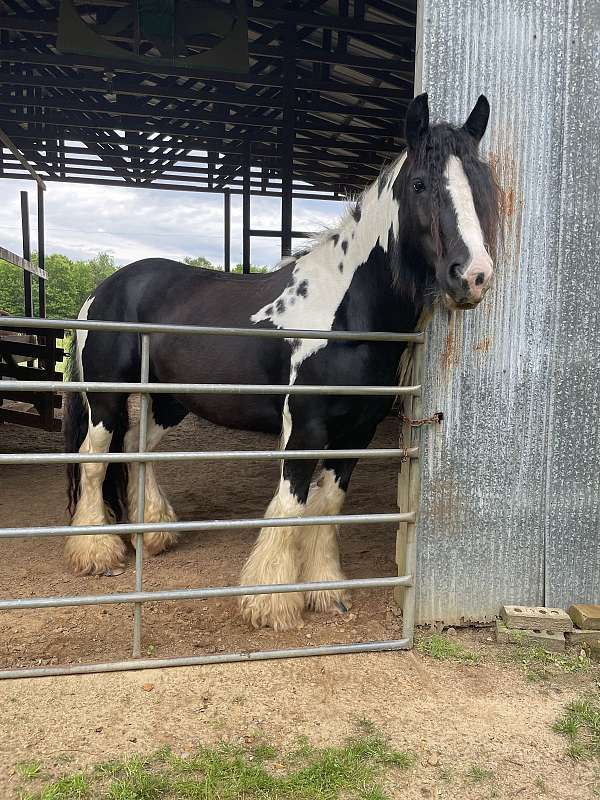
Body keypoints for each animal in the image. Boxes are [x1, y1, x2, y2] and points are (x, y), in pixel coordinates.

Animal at [63, 93, 500, 631]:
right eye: (420, 184)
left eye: (481, 184)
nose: (473, 276)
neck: (344, 312)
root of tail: (103, 289)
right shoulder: (305, 426)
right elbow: (292, 502)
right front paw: (271, 600)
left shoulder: (357, 431)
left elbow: (328, 504)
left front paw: (327, 590)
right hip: (105, 398)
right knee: (94, 460)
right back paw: (96, 553)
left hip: (165, 401)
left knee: (137, 451)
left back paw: (155, 533)